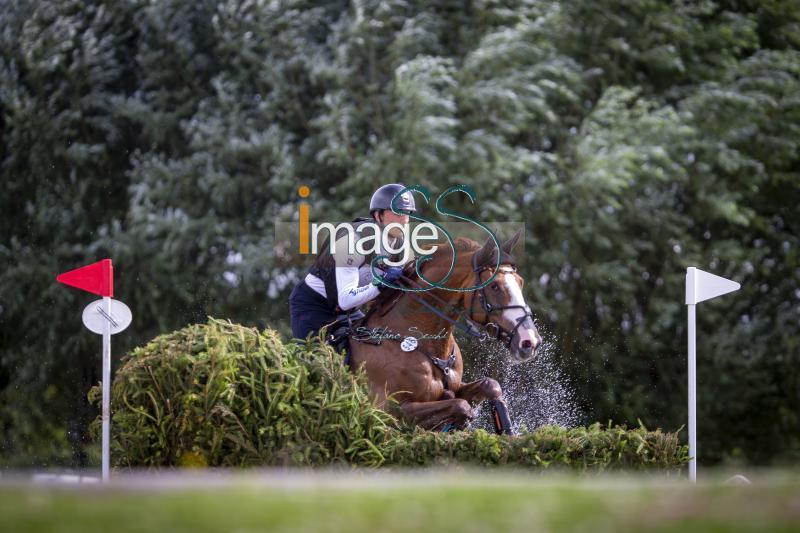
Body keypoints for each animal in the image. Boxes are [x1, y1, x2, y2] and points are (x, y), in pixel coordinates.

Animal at [346, 229, 540, 432]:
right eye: (494, 286)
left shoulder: (458, 384)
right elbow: (460, 405)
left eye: (520, 282)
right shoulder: (387, 411)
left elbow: (490, 385)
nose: (530, 341)